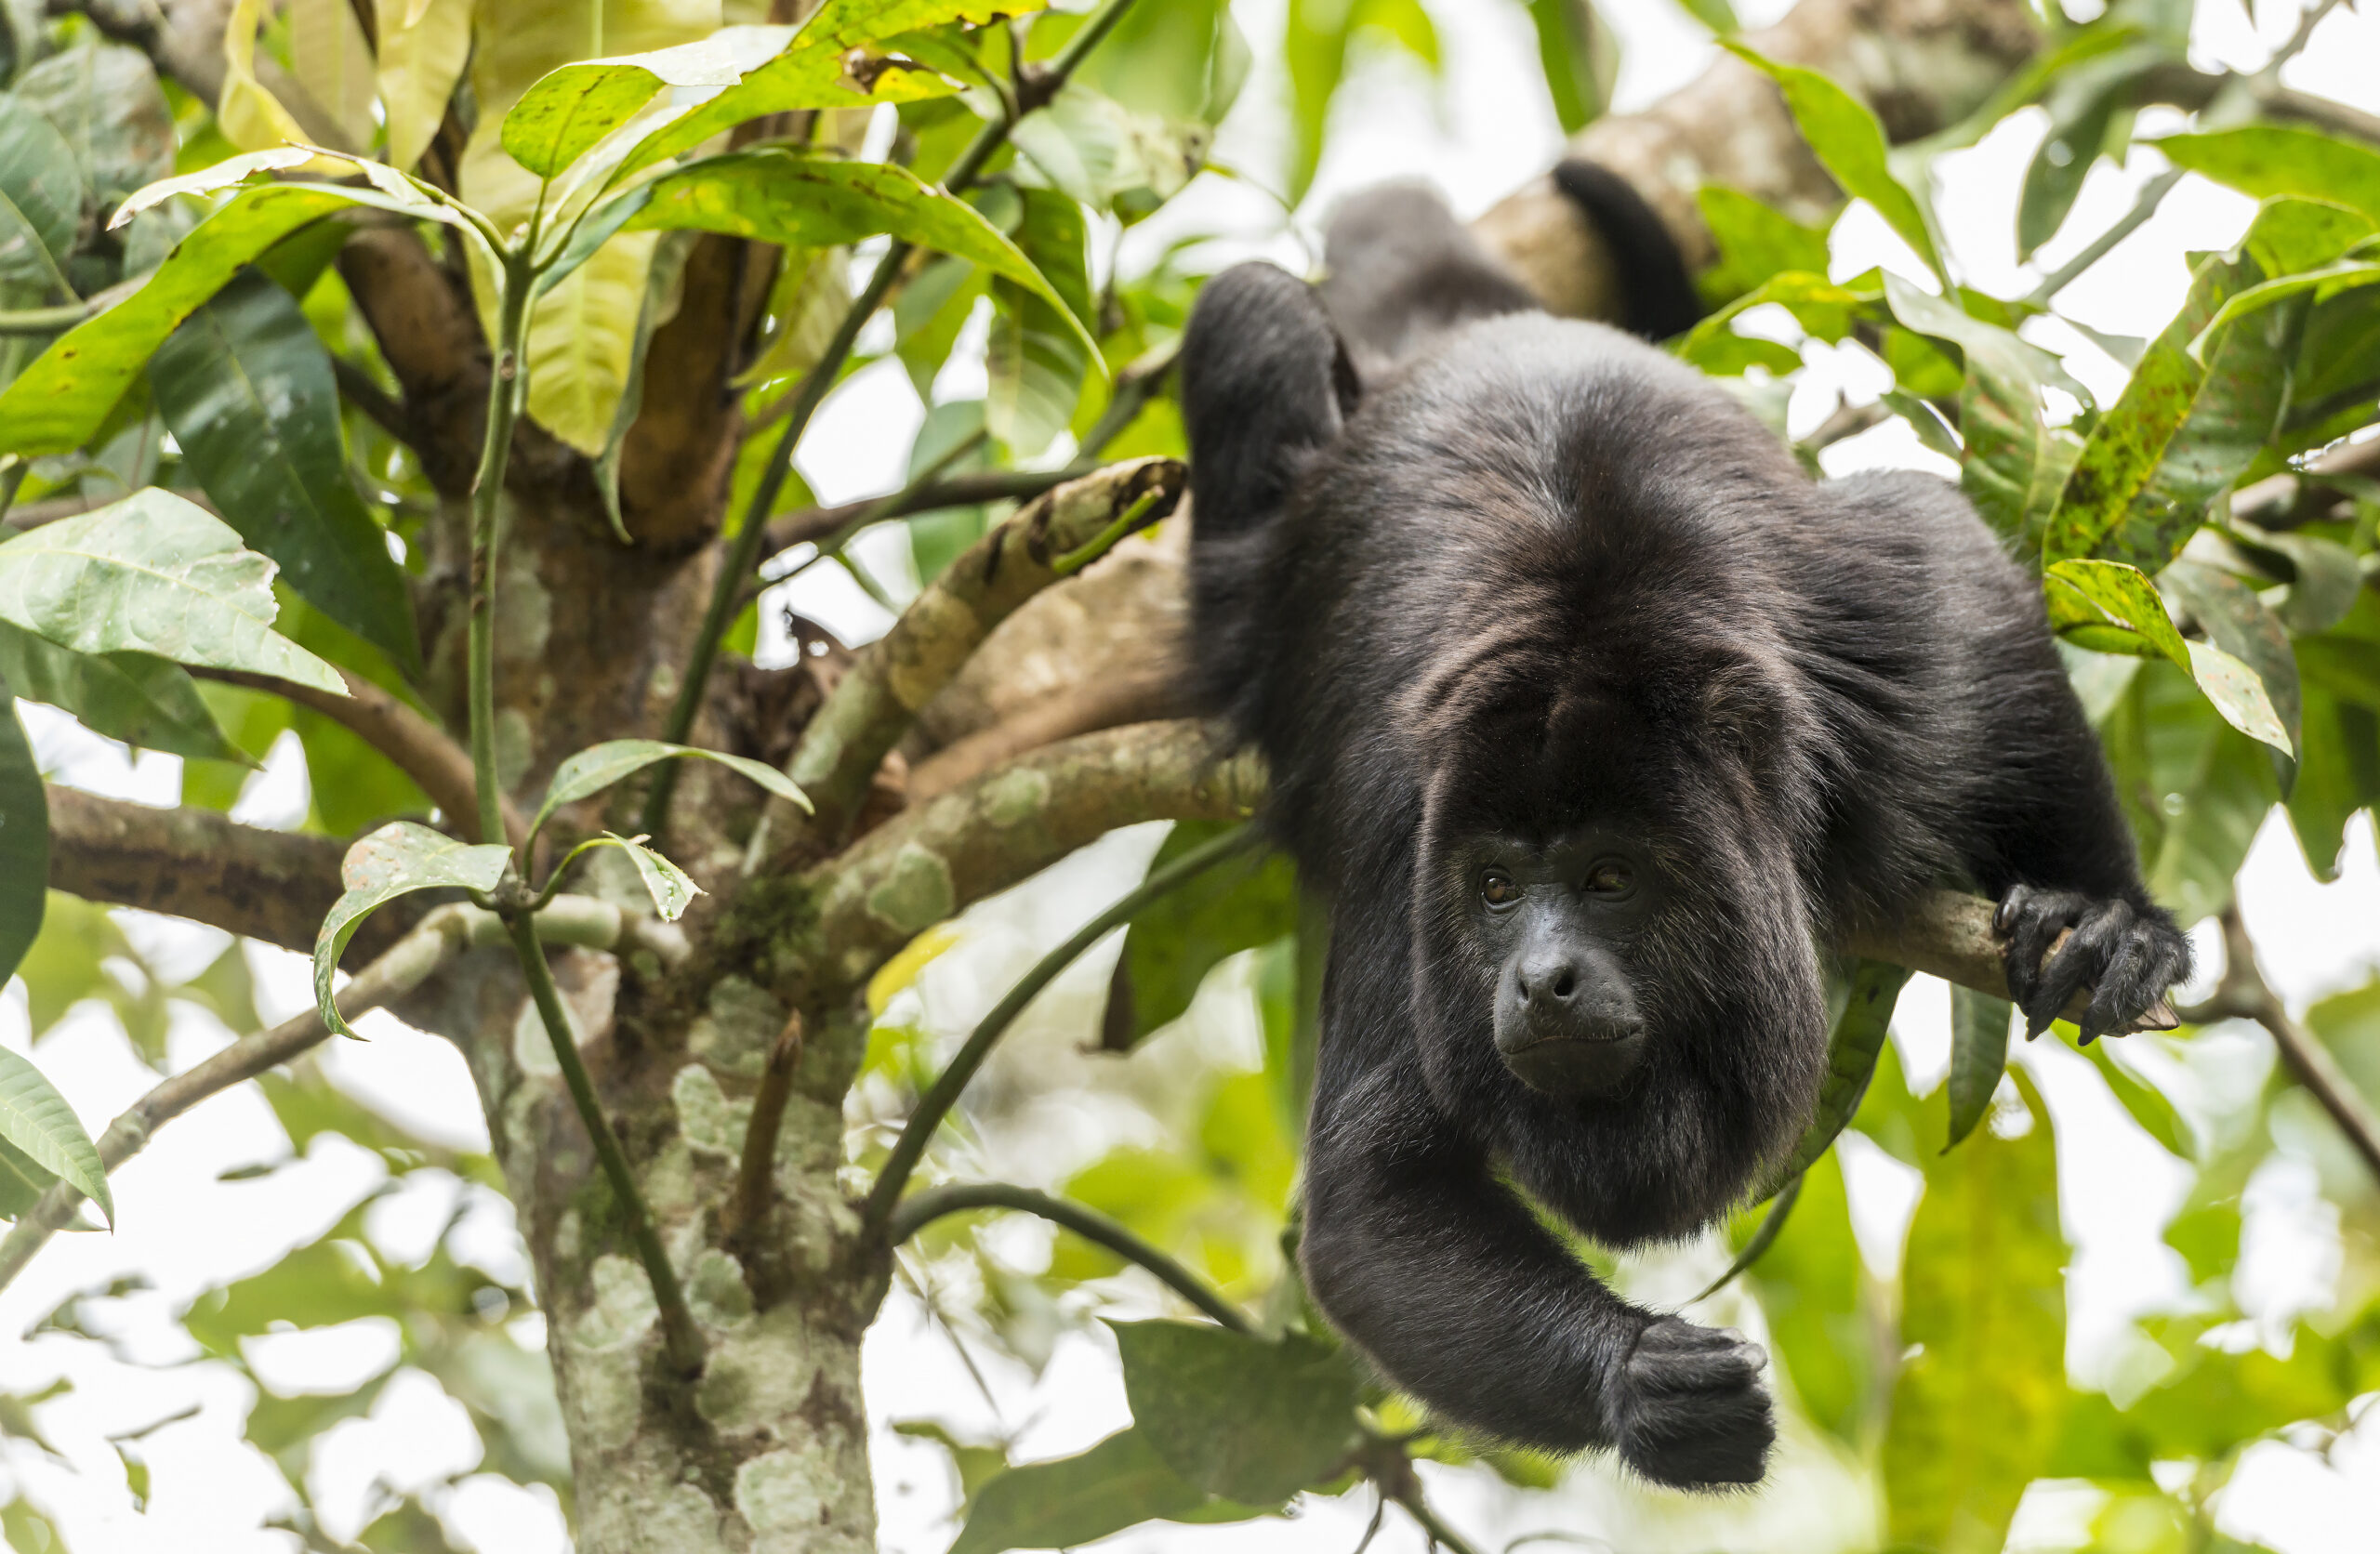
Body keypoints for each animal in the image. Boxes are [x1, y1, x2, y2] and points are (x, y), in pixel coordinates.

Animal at [1175, 172, 2189, 1494]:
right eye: (1494, 889)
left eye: (1610, 876)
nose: (1540, 979)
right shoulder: (1404, 822)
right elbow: (1370, 1199)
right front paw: (1636, 1379)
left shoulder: (1881, 652)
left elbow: (1947, 555)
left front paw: (2099, 909)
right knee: (1254, 309)